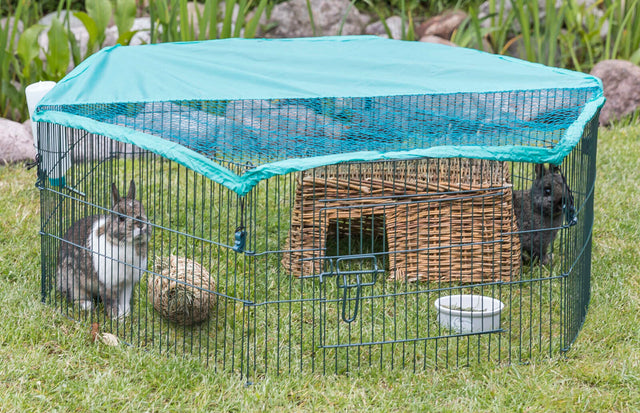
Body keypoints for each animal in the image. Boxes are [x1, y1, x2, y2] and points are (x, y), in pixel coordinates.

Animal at [56, 181, 152, 318]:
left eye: (143, 211)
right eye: (121, 218)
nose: (141, 225)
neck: (126, 243)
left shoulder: (128, 283)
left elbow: (124, 299)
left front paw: (126, 313)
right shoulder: (108, 283)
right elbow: (111, 301)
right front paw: (117, 317)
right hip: (72, 282)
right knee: (74, 296)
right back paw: (87, 305)